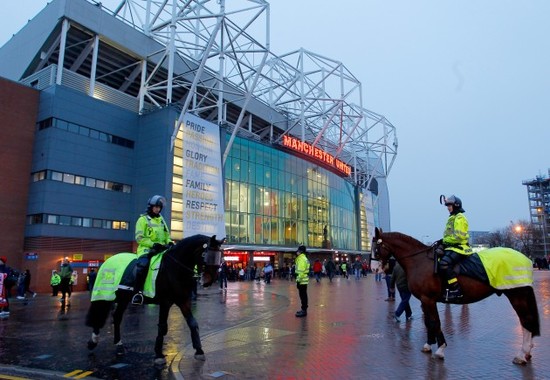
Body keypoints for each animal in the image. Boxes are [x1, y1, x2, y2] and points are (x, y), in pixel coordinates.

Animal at [86, 233, 224, 364]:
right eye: (207, 255)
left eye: (219, 257)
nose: (209, 281)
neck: (174, 268)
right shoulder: (165, 302)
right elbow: (162, 327)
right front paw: (158, 354)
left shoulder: (183, 301)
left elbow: (193, 323)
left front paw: (199, 350)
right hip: (106, 294)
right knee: (99, 314)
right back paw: (93, 341)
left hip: (123, 299)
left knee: (117, 317)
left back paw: (118, 345)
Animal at [374, 227, 540, 364]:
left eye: (376, 248)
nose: (375, 269)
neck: (419, 261)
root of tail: (525, 258)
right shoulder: (424, 300)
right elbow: (428, 322)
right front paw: (428, 345)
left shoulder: (429, 299)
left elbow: (435, 322)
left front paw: (440, 349)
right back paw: (527, 352)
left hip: (517, 295)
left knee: (526, 320)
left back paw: (521, 354)